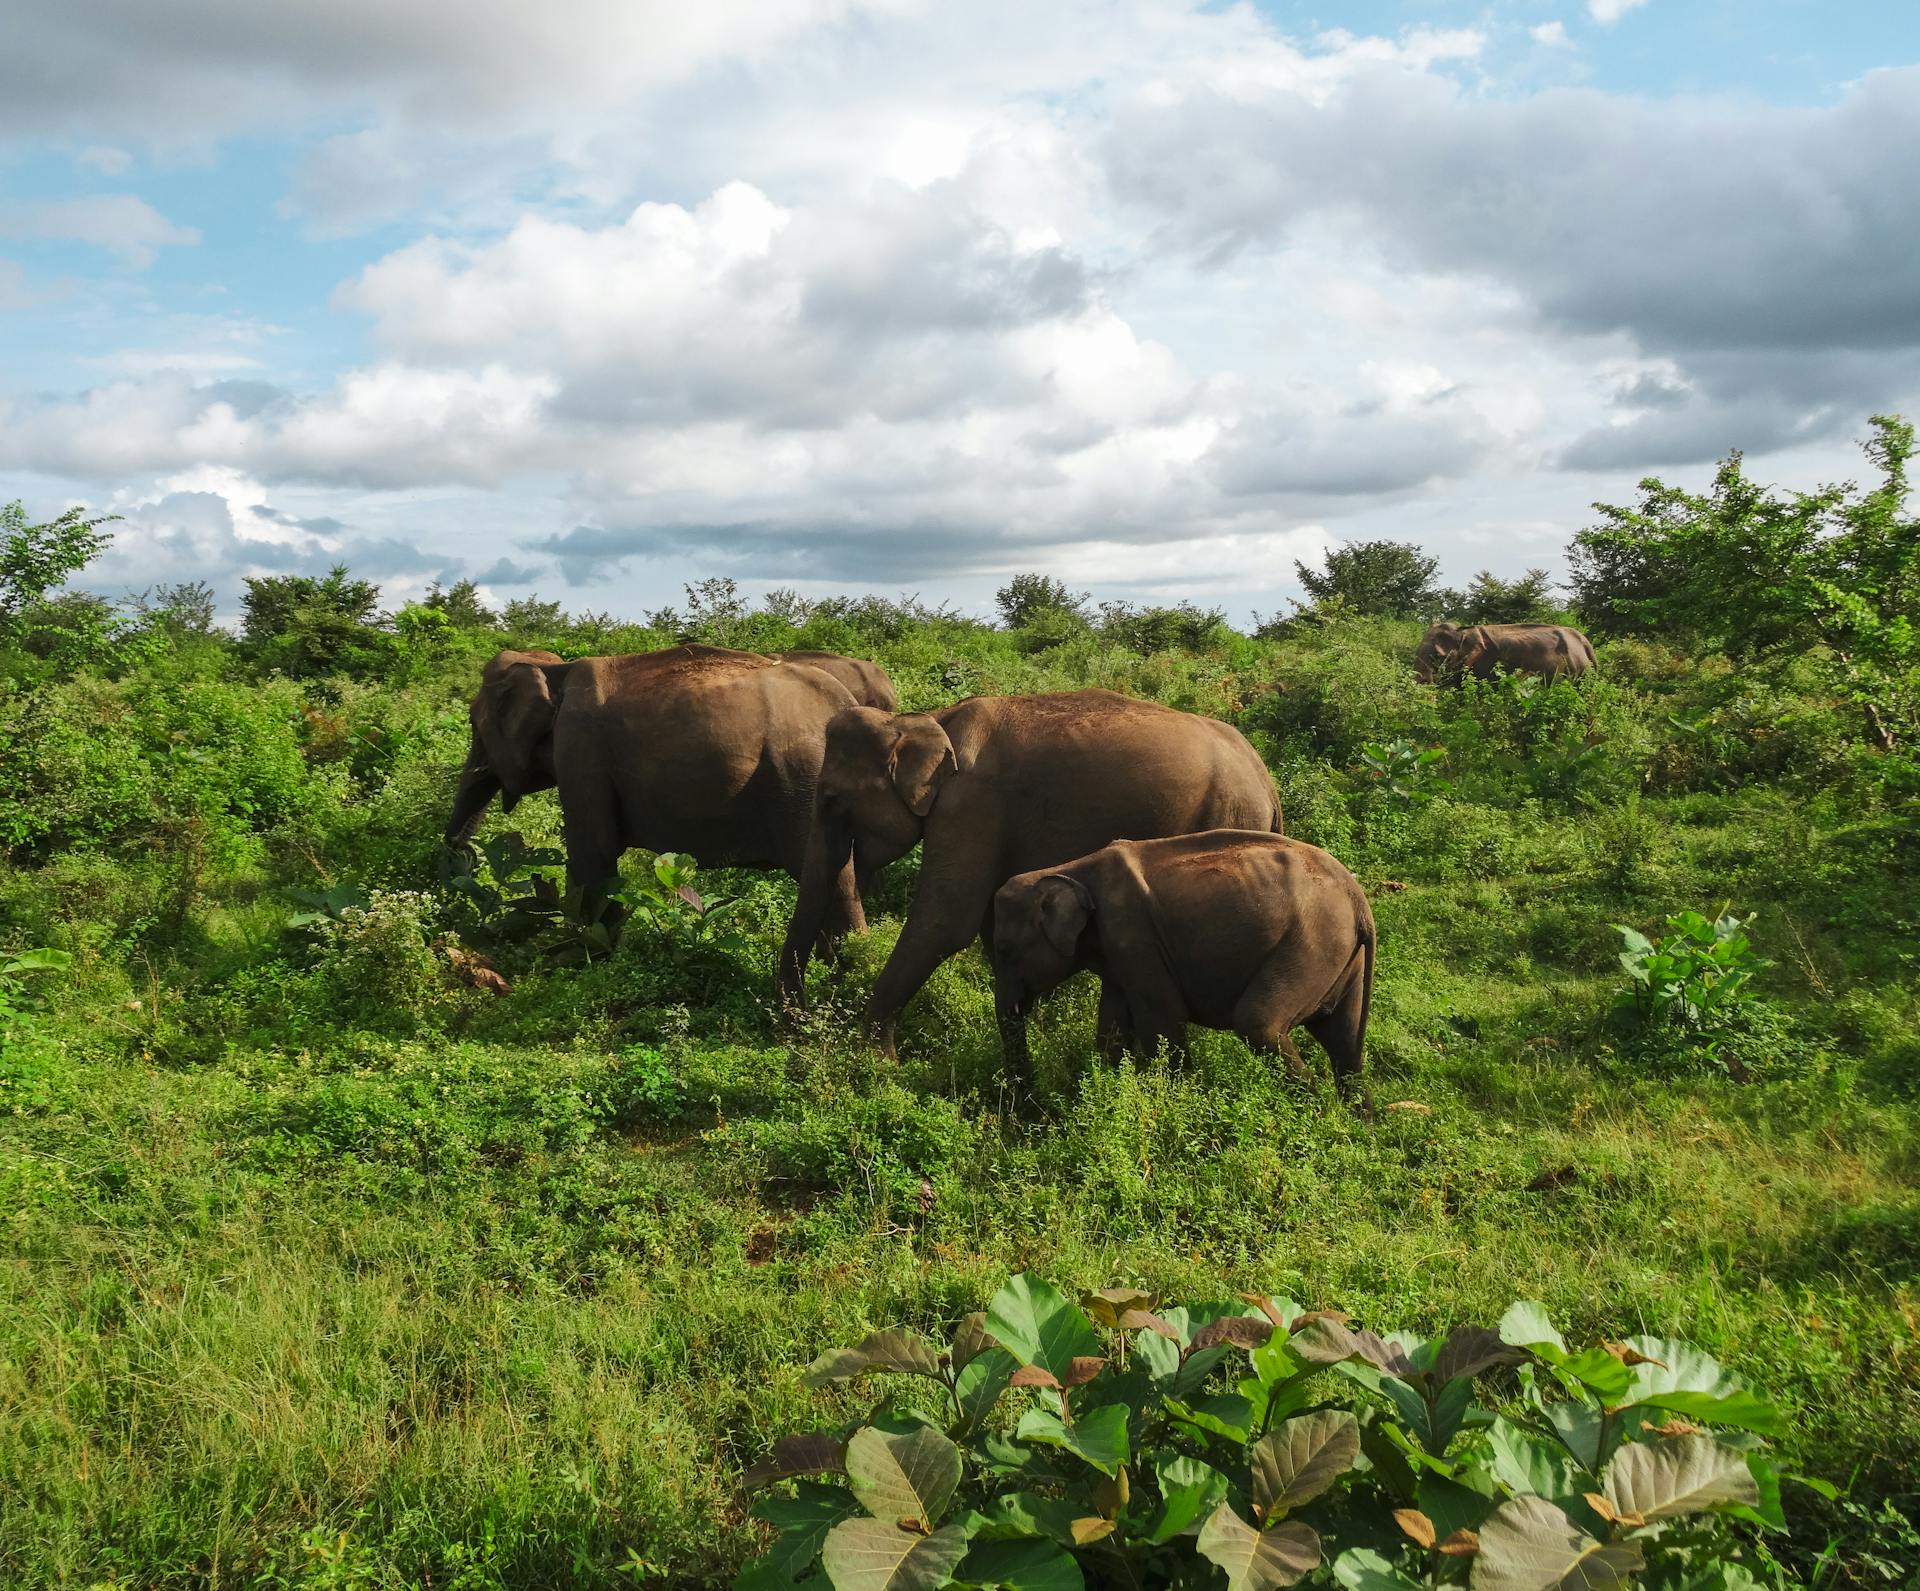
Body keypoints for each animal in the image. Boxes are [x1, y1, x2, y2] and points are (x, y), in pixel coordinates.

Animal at [444, 644, 866, 937]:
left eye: (473, 723)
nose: (465, 856)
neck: (554, 670)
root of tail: (847, 703)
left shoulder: (579, 749)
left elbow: (593, 853)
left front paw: (595, 959)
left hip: (801, 784)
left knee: (833, 881)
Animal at [778, 689, 1282, 1074]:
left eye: (831, 799)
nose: (794, 1028)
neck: (927, 720)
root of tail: (1265, 778)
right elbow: (983, 922)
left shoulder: (970, 805)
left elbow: (945, 923)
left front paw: (873, 1063)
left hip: (1222, 814)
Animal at [991, 830, 1374, 1103]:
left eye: (1004, 951)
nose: (1029, 1107)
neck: (1068, 870)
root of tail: (1359, 902)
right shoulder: (1120, 953)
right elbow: (1112, 1025)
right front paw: (1105, 1091)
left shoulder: (1135, 935)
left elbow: (1162, 1020)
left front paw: (1179, 1102)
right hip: (1338, 957)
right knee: (1343, 1042)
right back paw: (1354, 1124)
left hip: (1312, 945)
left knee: (1258, 1023)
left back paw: (1315, 1114)